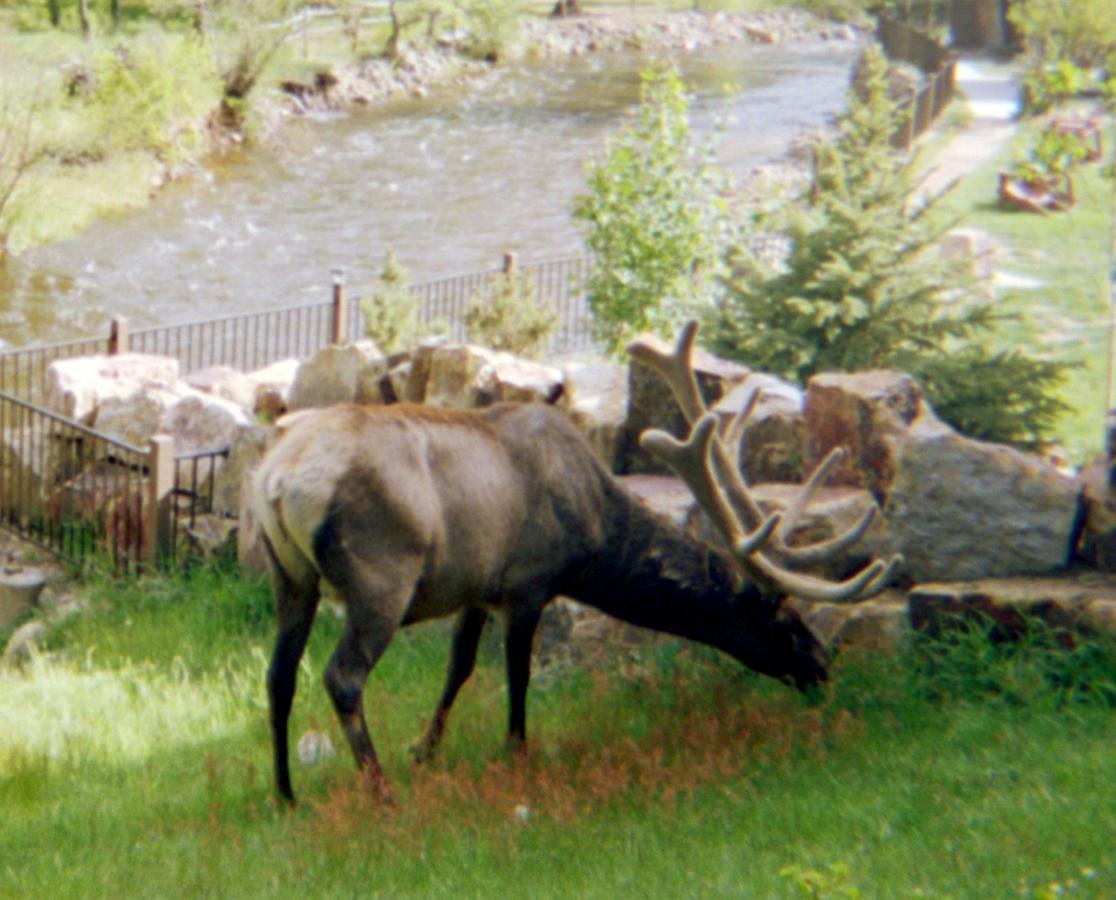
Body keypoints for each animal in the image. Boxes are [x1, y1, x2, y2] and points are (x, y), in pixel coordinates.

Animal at [253, 319, 897, 803]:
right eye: (780, 618)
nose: (822, 665)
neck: (592, 535)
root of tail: (279, 482)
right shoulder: (528, 581)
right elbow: (517, 675)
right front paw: (515, 753)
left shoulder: (477, 587)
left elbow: (459, 667)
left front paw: (424, 750)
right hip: (380, 575)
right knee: (341, 676)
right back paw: (380, 792)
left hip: (289, 577)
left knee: (280, 674)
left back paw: (285, 793)